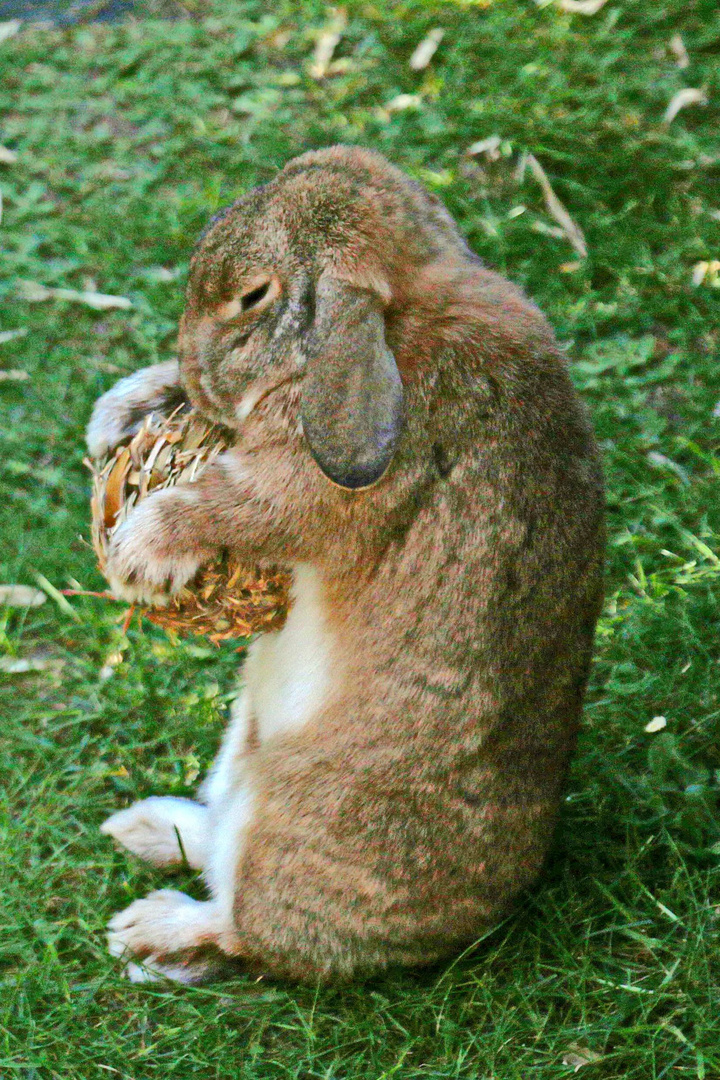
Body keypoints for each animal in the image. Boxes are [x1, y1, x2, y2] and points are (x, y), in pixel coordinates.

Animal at [91, 145, 608, 989]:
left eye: (253, 296)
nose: (196, 374)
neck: (394, 324)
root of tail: (475, 920)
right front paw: (122, 409)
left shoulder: (313, 487)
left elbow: (244, 503)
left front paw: (141, 554)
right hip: (237, 754)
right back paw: (143, 828)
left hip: (291, 819)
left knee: (245, 927)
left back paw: (150, 925)